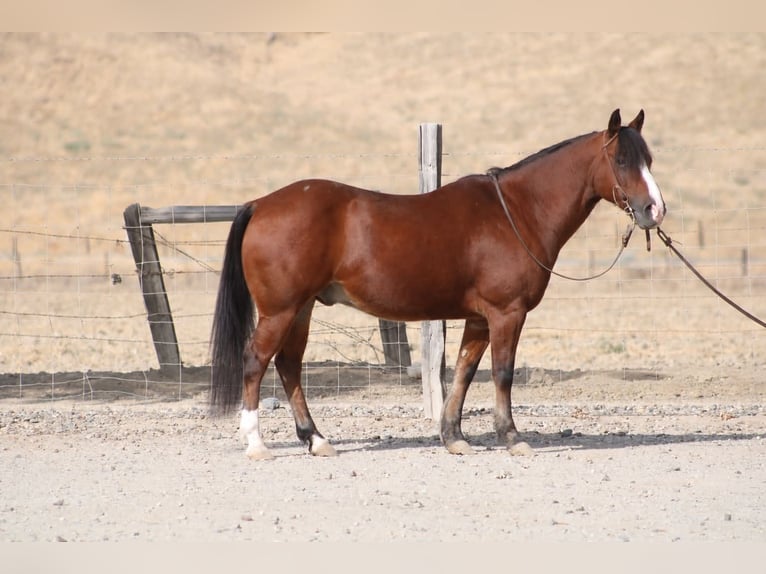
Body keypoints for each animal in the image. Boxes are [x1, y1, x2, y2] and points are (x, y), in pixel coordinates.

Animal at [209, 109, 666, 460]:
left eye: (649, 159)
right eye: (621, 161)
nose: (654, 210)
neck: (517, 212)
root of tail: (261, 204)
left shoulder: (479, 319)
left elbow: (464, 372)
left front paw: (454, 438)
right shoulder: (507, 313)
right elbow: (502, 373)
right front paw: (512, 437)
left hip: (301, 309)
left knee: (289, 365)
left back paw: (317, 440)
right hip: (280, 310)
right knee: (256, 362)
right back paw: (257, 445)